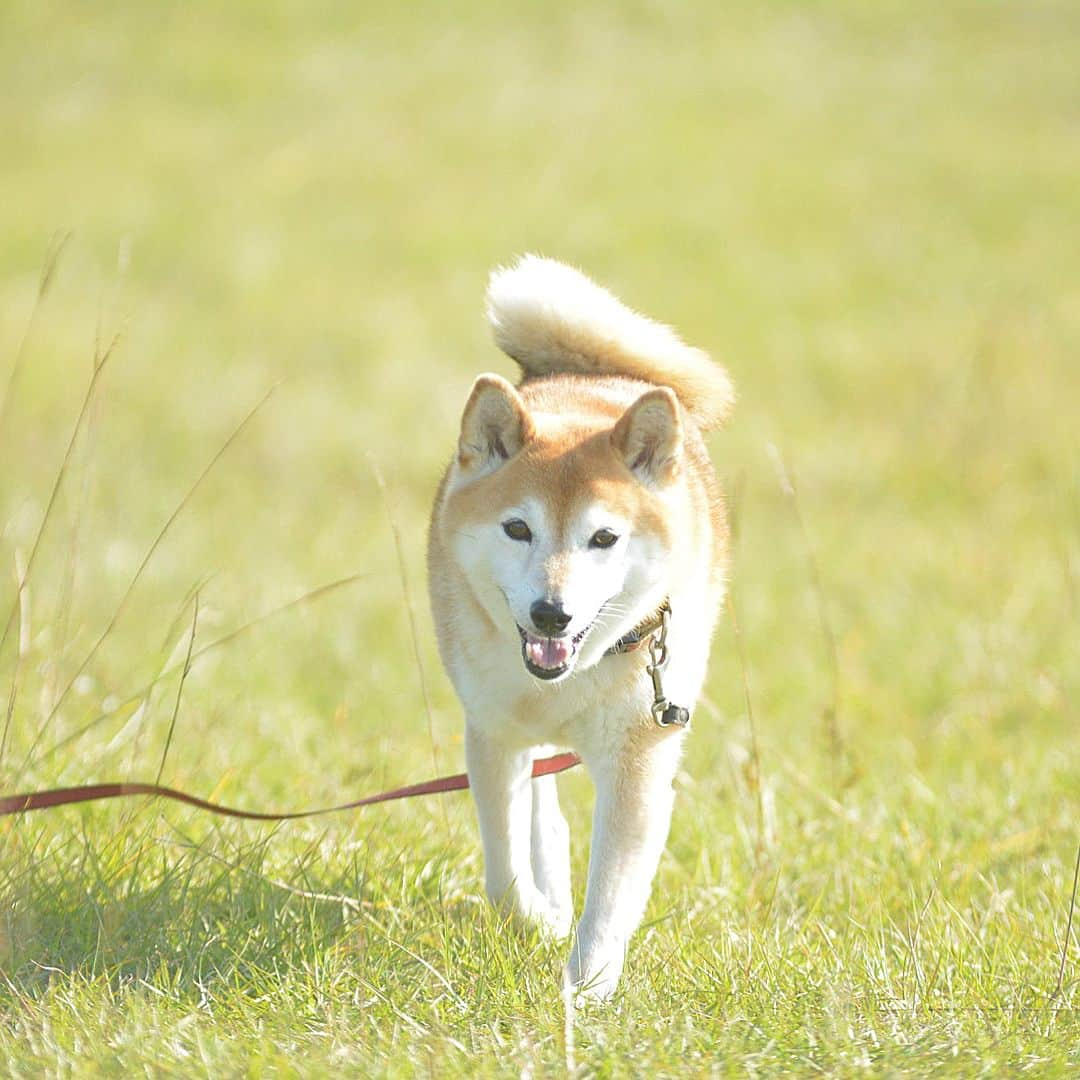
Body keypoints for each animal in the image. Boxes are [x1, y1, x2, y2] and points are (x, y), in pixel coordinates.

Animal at [423, 257, 734, 997]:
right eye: (517, 528)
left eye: (604, 538)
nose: (552, 612)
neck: (567, 676)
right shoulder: (492, 734)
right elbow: (503, 870)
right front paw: (537, 919)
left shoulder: (639, 756)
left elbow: (613, 895)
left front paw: (588, 989)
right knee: (544, 808)